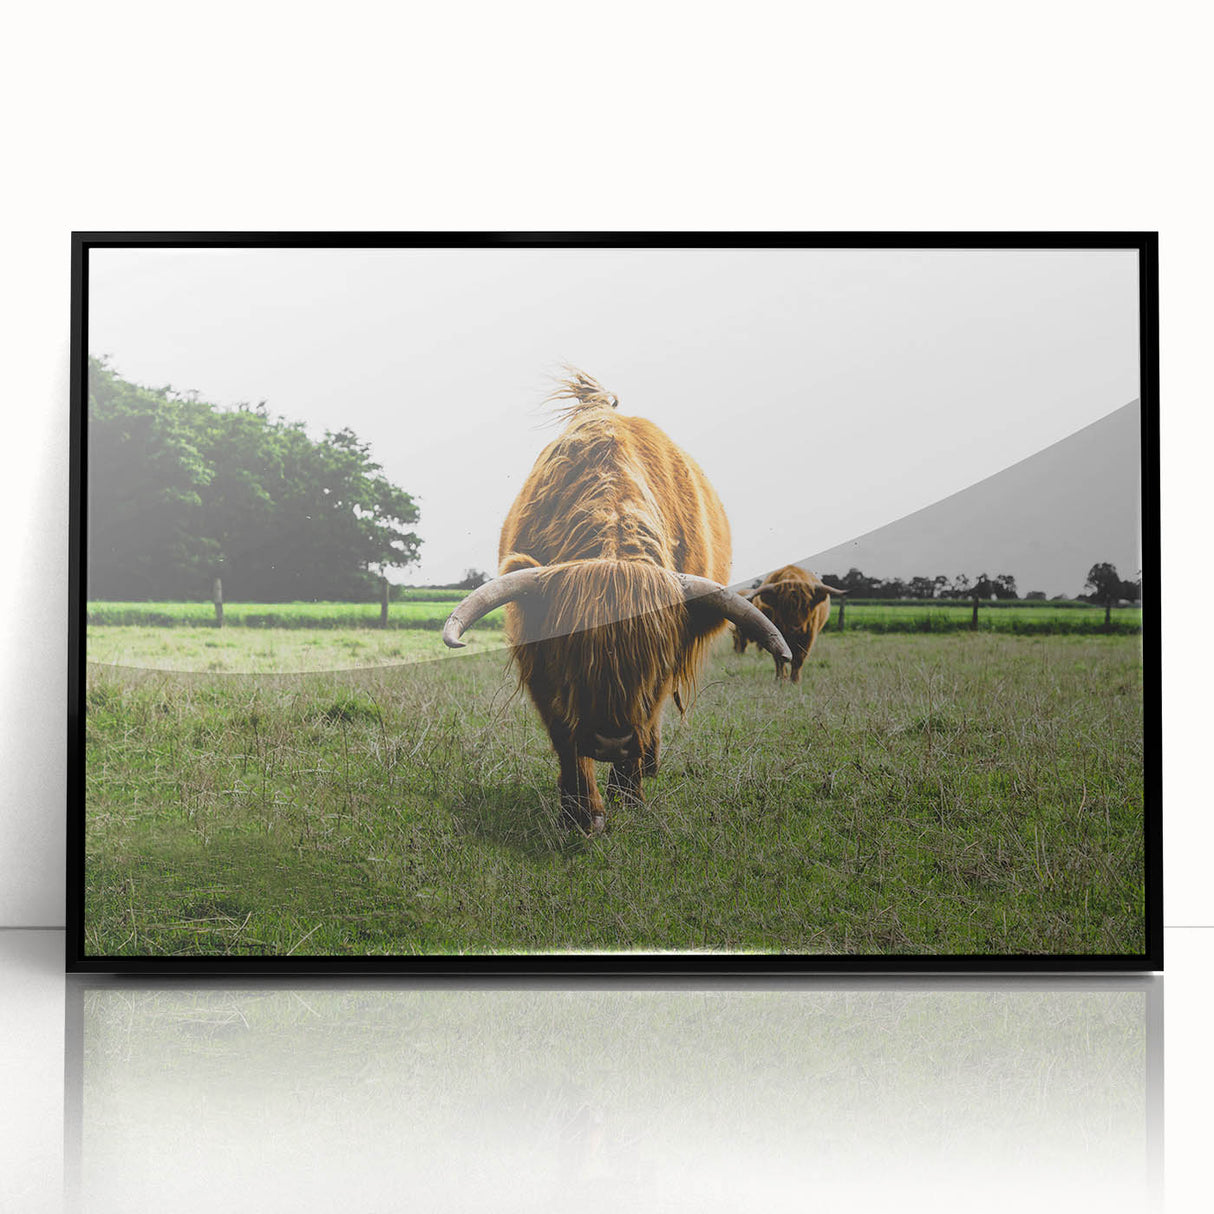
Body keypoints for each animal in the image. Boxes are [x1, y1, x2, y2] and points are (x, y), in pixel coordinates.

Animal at [442, 370, 791, 833]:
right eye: (571, 657)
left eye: (655, 663)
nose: (612, 741)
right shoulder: (539, 664)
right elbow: (565, 736)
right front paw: (581, 812)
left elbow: (647, 718)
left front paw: (628, 797)